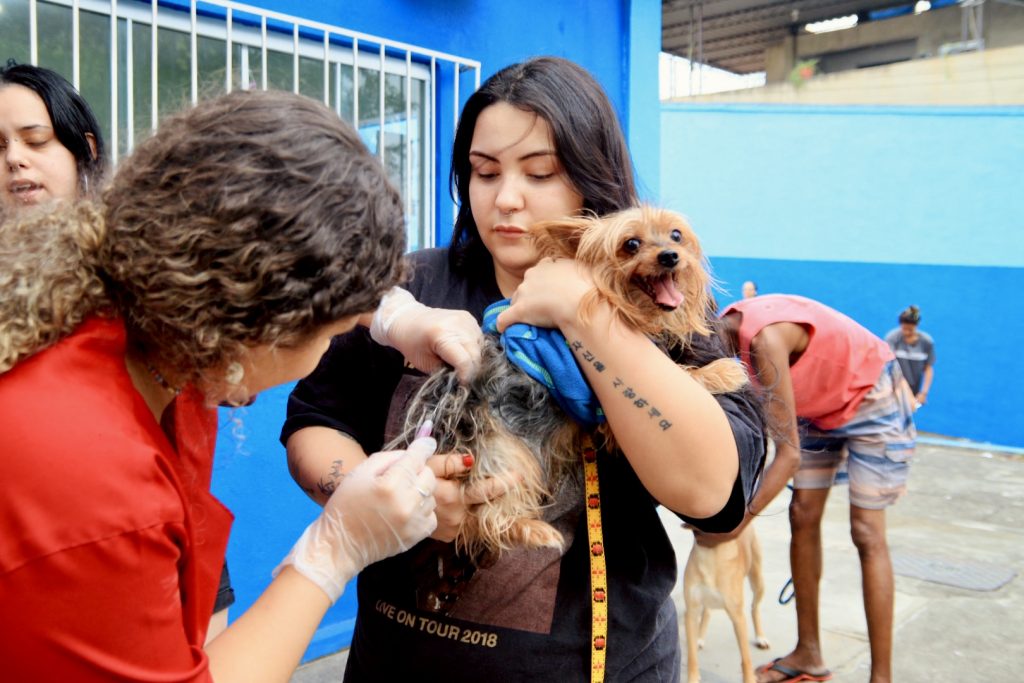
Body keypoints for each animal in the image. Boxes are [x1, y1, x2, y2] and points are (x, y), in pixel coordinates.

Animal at [389, 204, 745, 565]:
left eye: (675, 235)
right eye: (631, 244)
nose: (671, 255)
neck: (623, 309)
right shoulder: (601, 402)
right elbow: (683, 374)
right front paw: (723, 371)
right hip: (505, 452)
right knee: (489, 514)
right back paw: (534, 531)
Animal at [688, 524, 770, 683]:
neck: (710, 552)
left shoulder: (738, 617)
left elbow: (746, 658)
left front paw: (749, 679)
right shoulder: (691, 613)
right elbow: (692, 657)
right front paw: (692, 678)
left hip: (758, 581)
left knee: (754, 607)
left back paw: (760, 637)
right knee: (707, 612)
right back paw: (699, 638)